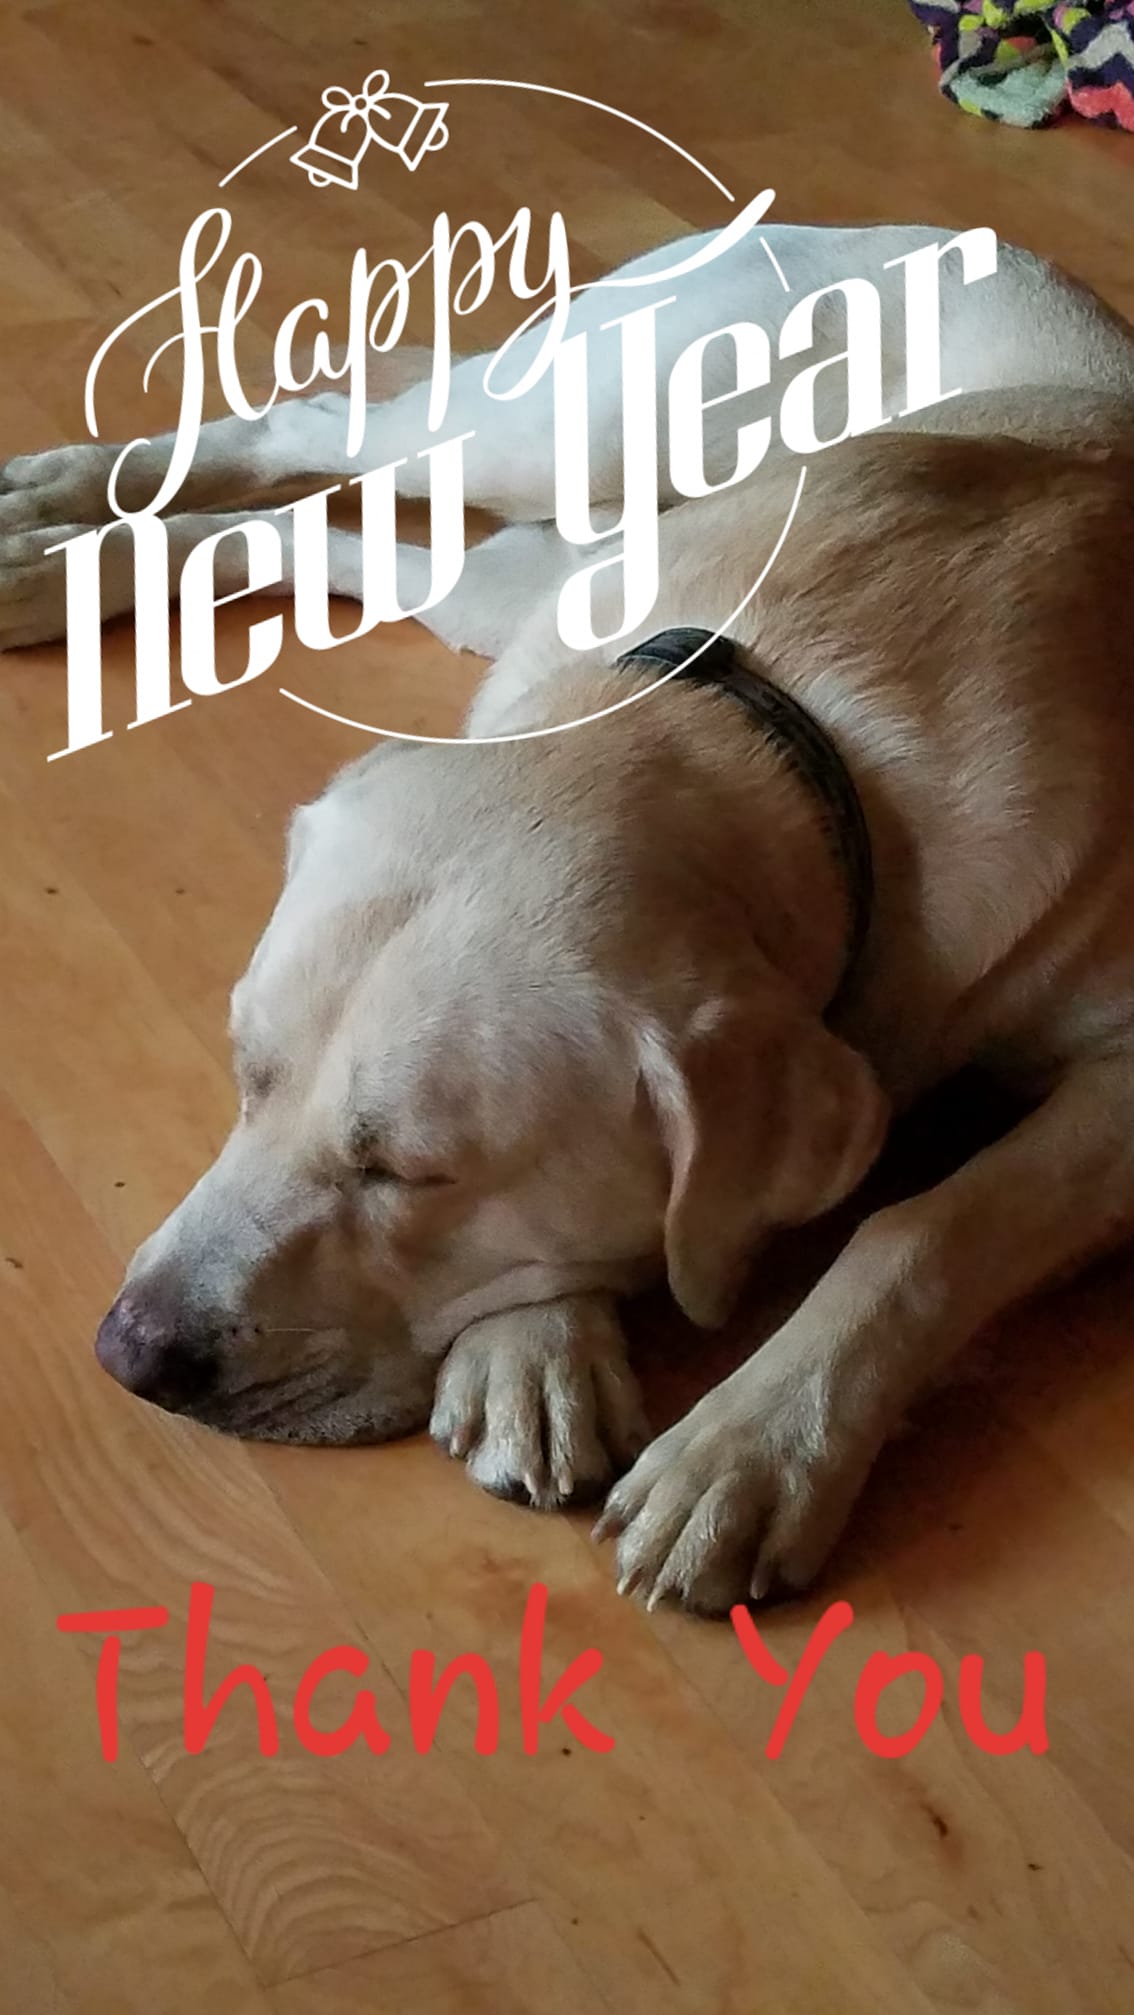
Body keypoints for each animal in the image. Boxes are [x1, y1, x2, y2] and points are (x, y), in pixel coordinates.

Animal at [6, 222, 1134, 1614]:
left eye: (409, 1171)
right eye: (246, 1075)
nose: (128, 1353)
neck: (770, 716)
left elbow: (926, 1223)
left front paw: (755, 1442)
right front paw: (533, 1352)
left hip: (538, 550)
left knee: (335, 531)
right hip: (571, 430)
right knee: (316, 432)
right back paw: (62, 521)